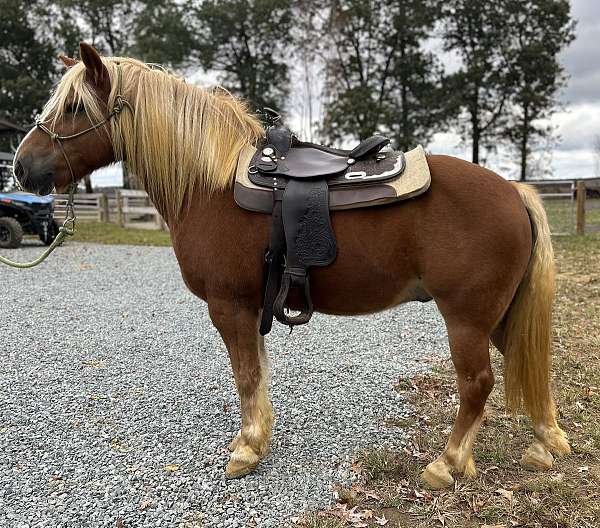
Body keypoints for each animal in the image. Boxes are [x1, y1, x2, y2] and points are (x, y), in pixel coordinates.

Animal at [11, 43, 568, 488]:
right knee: (525, 367)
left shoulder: (228, 306)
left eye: (75, 107)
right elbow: (257, 372)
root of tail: (513, 193)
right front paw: (258, 439)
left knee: (477, 384)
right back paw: (546, 444)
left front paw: (246, 449)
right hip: (499, 316)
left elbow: (245, 374)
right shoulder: (249, 307)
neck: (209, 184)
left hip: (467, 319)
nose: (21, 167)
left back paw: (447, 463)